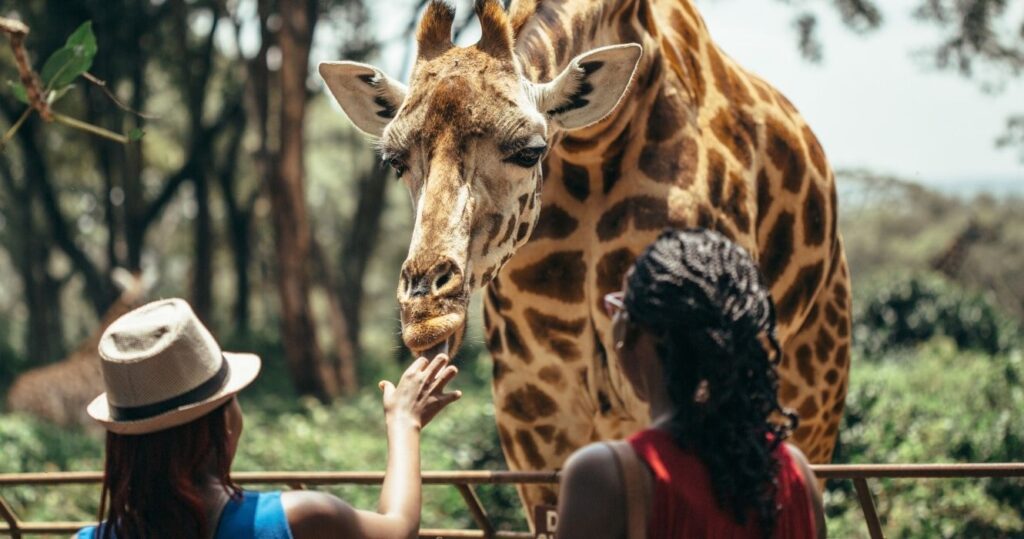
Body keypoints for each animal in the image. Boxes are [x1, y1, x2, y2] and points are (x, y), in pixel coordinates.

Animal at [323, 0, 851, 516]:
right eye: (394, 161)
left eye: (530, 151)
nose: (426, 314)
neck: (592, 148)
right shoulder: (533, 405)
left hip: (814, 394)